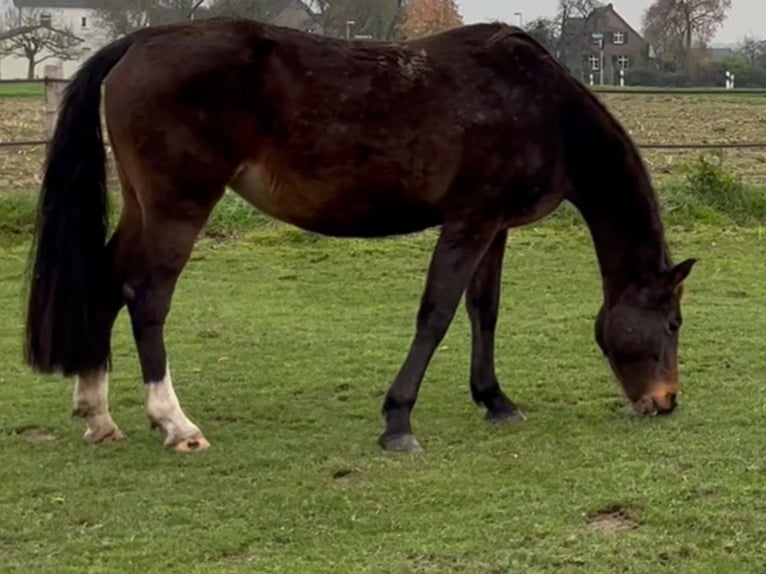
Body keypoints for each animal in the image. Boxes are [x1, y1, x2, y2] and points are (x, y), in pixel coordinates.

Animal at [22, 16, 696, 454]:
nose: (665, 401)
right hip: (177, 208)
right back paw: (175, 424)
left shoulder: (494, 228)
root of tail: (140, 40)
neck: (541, 106)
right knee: (147, 297)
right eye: (671, 324)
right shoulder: (468, 222)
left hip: (143, 206)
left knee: (105, 283)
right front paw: (398, 421)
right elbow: (436, 313)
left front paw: (495, 400)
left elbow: (484, 311)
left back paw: (96, 414)